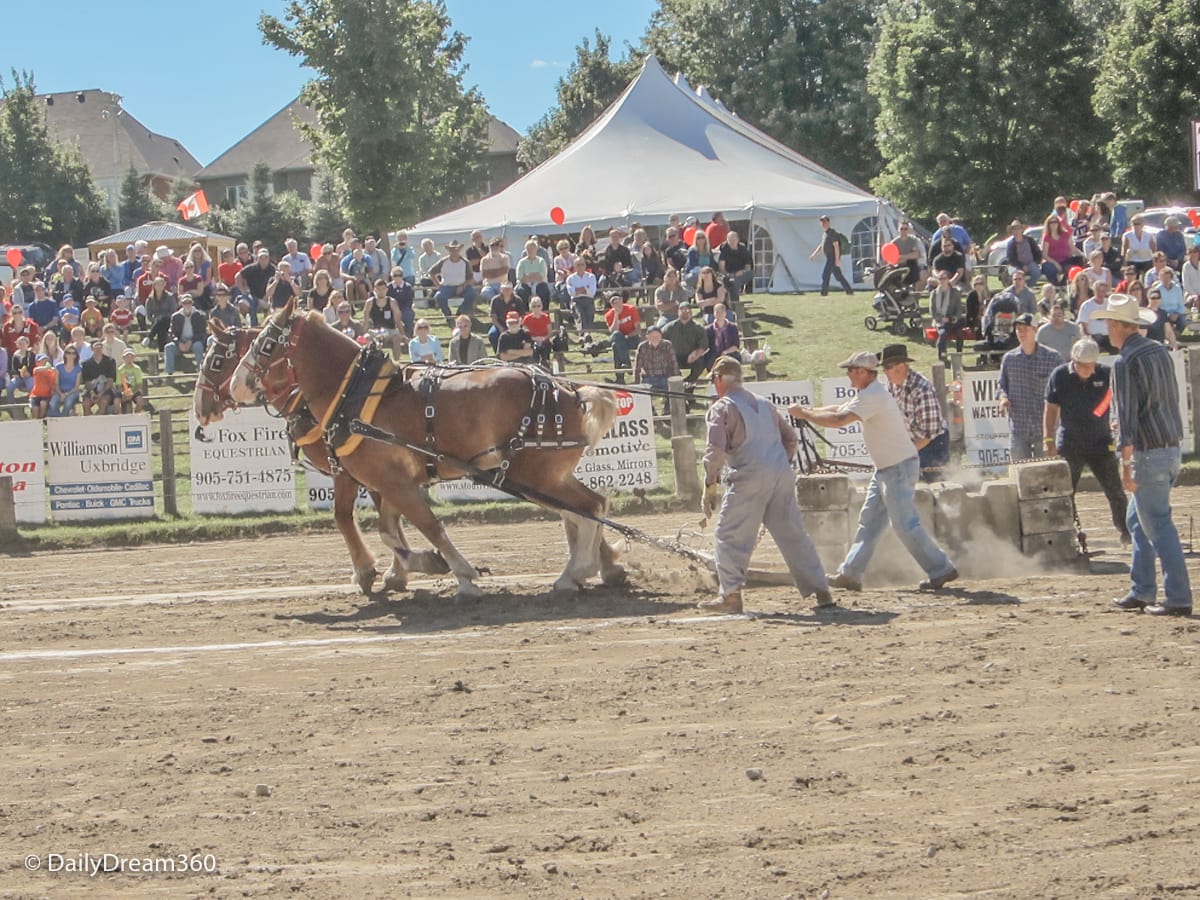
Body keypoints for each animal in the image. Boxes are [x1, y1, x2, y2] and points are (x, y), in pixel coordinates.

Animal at [194, 321, 448, 595]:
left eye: (217, 361)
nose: (199, 408)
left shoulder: (349, 472)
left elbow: (345, 516)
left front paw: (371, 571)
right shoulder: (372, 474)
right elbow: (389, 518)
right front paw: (398, 570)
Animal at [231, 300, 628, 602]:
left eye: (267, 344)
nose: (236, 384)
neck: (356, 394)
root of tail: (570, 390)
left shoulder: (392, 483)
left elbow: (427, 526)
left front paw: (462, 575)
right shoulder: (385, 482)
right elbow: (391, 531)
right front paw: (415, 566)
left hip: (536, 475)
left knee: (586, 509)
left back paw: (576, 572)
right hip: (545, 475)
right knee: (587, 509)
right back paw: (580, 572)